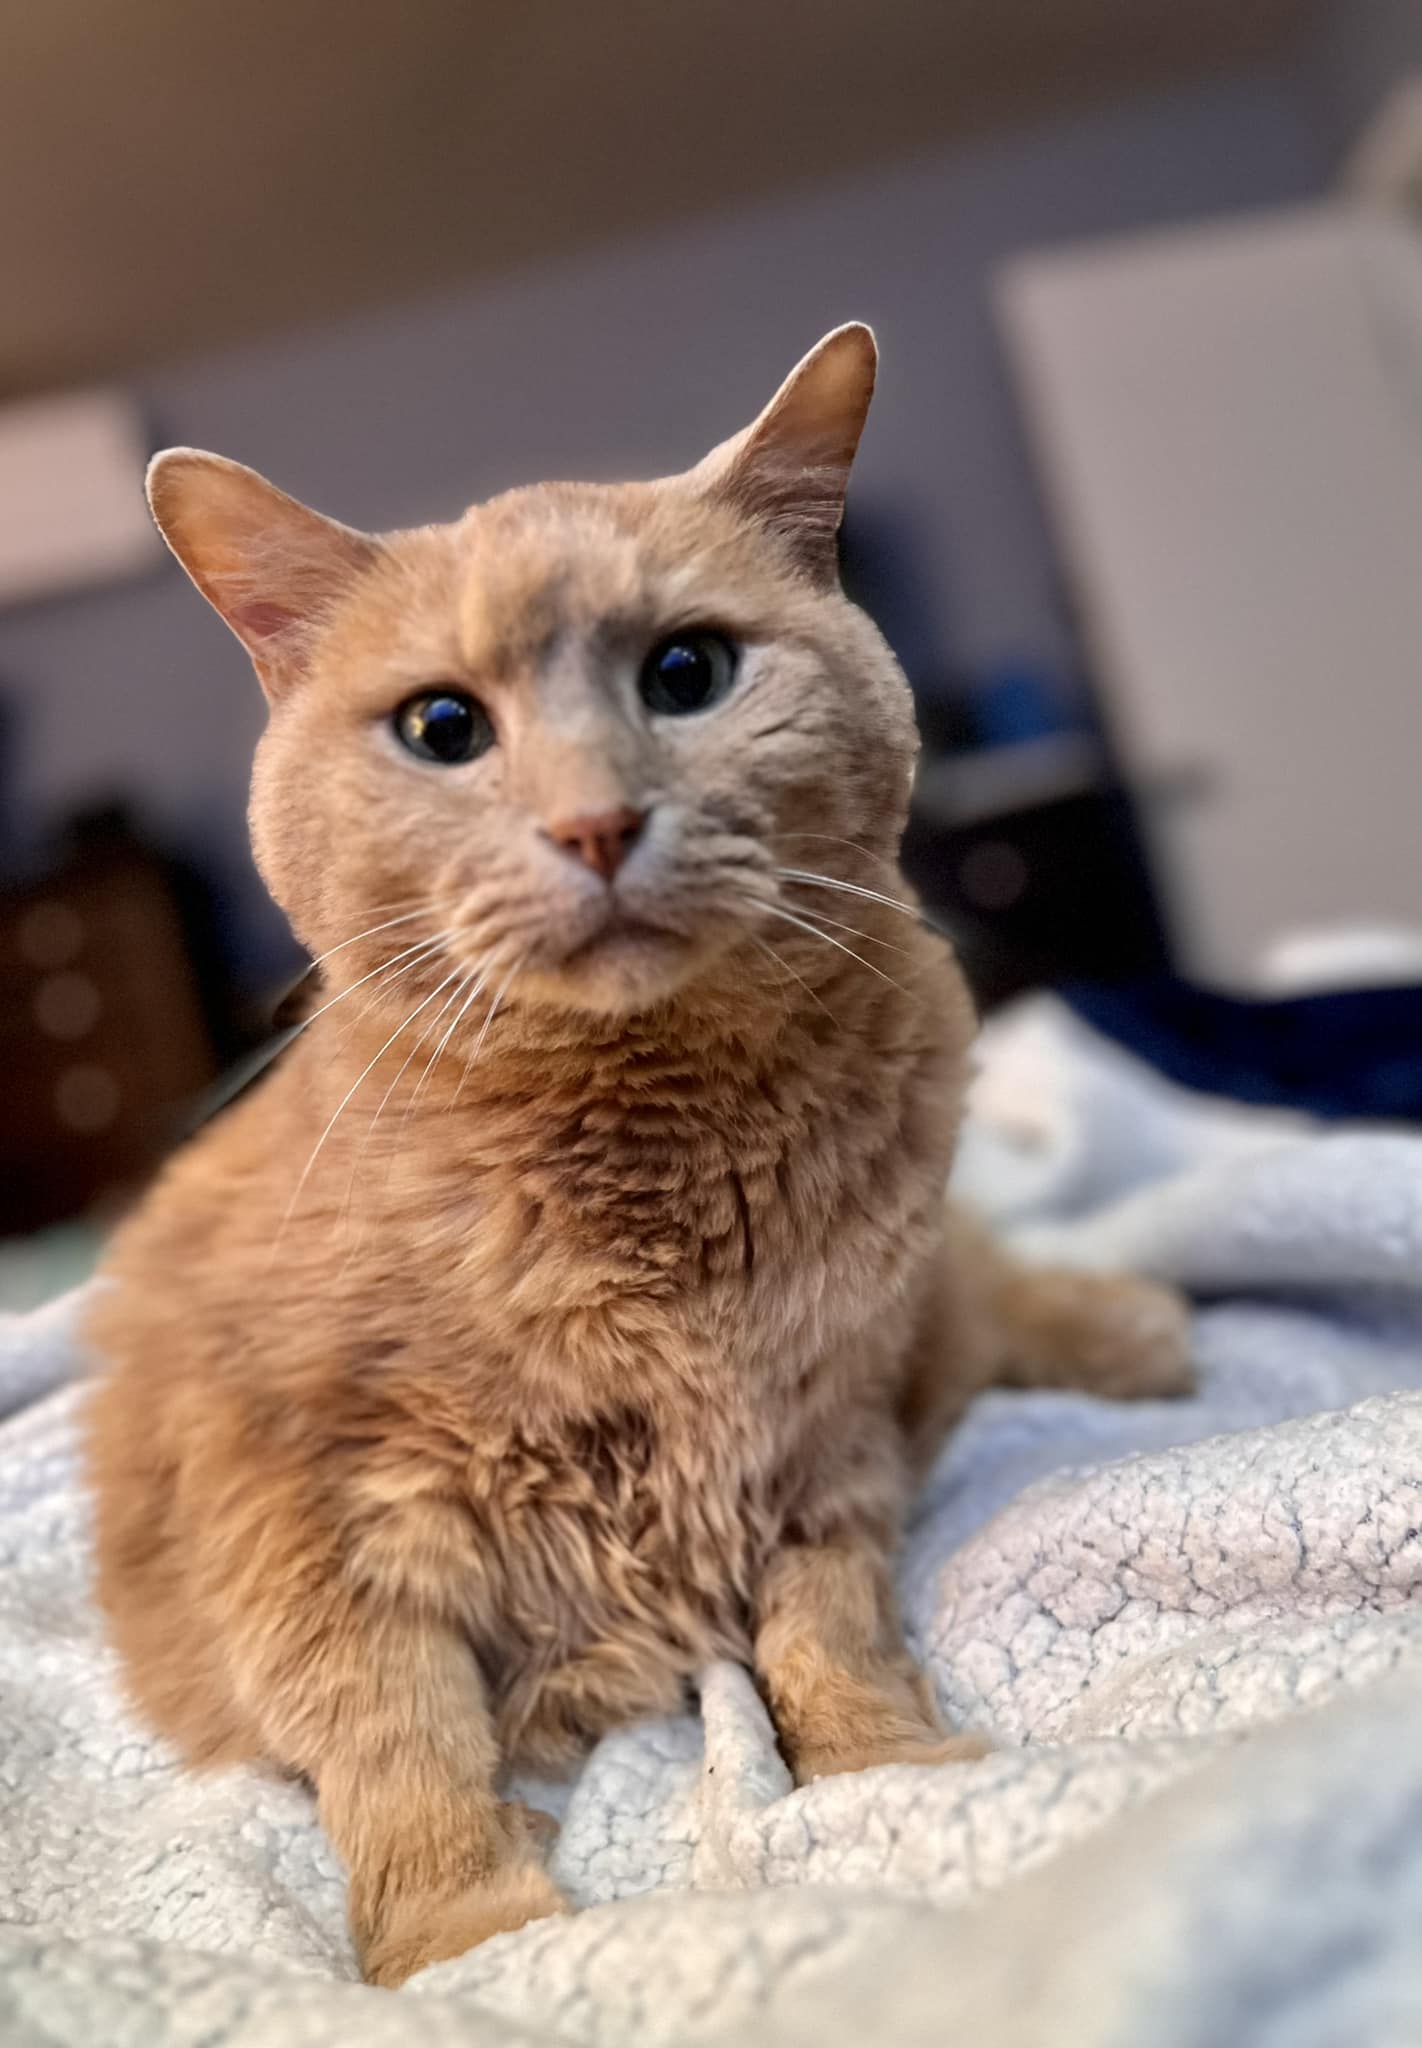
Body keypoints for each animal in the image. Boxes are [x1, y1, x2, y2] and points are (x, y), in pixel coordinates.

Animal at [86, 331, 1188, 1982]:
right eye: (441, 727)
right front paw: (468, 1939)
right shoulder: (307, 1520)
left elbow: (825, 1631)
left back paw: (1136, 1333)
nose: (597, 824)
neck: (649, 1166)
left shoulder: (823, 1443)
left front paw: (887, 1772)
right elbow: (398, 1740)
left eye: (687, 674)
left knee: (989, 1295)